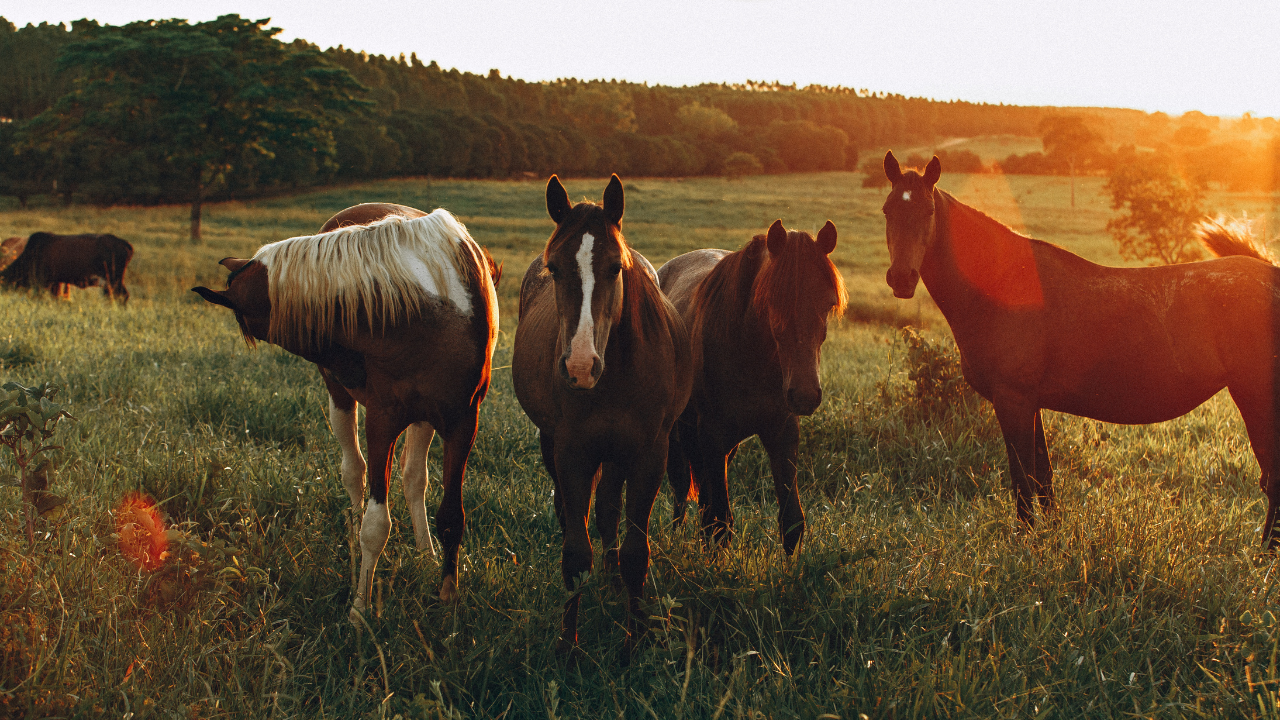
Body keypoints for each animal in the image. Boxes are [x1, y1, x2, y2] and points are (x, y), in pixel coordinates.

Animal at [192, 203, 501, 620]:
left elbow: (452, 516)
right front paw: (359, 608)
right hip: (342, 401)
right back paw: (357, 550)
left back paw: (424, 553)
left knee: (413, 478)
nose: (343, 365)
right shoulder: (381, 420)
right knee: (354, 473)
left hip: (423, 417)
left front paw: (448, 597)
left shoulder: (462, 422)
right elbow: (375, 523)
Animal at [511, 175, 692, 660]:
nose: (579, 366)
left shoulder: (649, 454)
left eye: (615, 268)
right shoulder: (573, 452)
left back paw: (611, 582)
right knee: (571, 511)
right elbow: (575, 553)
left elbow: (634, 552)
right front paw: (566, 644)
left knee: (610, 508)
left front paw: (636, 639)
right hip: (555, 444)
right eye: (555, 269)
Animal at [658, 219, 847, 554]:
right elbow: (720, 522)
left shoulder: (782, 433)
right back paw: (674, 537)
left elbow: (791, 521)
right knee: (682, 491)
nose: (805, 396)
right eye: (772, 301)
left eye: (828, 303)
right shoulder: (712, 435)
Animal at [881, 150, 1280, 548]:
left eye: (928, 211)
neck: (1004, 283)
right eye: (887, 210)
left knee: (1272, 478)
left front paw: (1025, 540)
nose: (901, 278)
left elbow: (1022, 478)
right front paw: (1053, 536)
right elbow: (1043, 476)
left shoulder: (1013, 399)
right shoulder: (1030, 402)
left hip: (1255, 397)